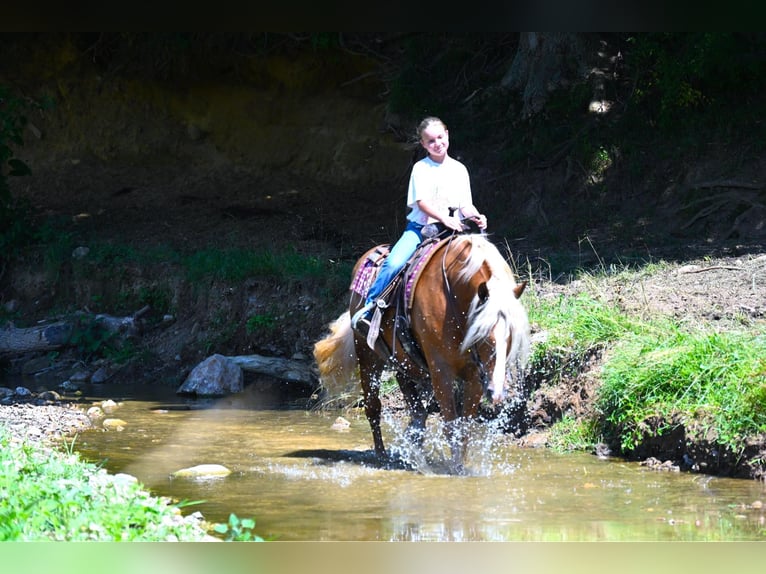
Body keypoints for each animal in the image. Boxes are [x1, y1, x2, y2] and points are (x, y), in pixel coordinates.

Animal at [316, 232, 532, 474]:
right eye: (485, 336)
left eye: (511, 337)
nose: (496, 392)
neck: (454, 297)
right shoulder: (441, 371)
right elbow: (450, 426)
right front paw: (454, 468)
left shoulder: (475, 376)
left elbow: (464, 427)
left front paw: (460, 467)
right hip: (368, 356)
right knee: (373, 407)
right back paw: (382, 457)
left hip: (403, 363)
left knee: (416, 412)